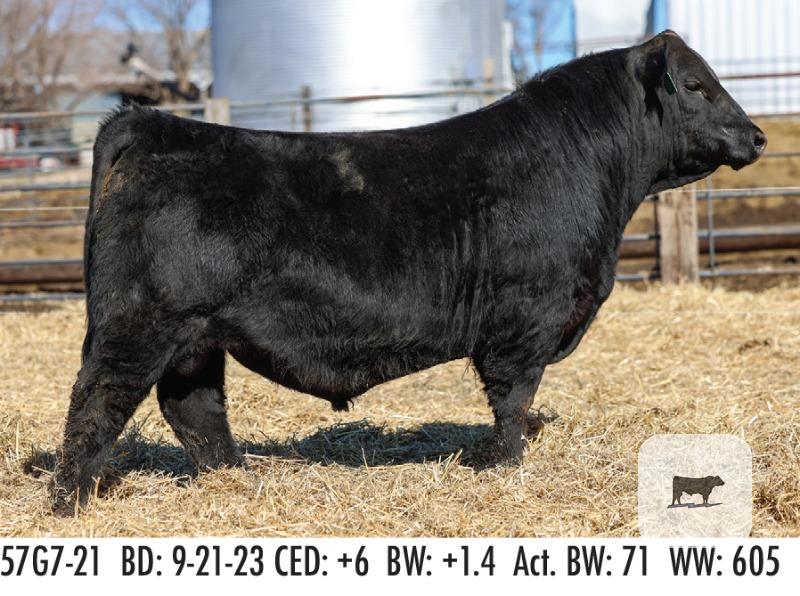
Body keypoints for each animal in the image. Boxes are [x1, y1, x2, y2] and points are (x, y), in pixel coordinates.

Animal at [51, 30, 766, 512]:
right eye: (696, 85)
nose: (757, 136)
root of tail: (149, 122)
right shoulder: (526, 319)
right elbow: (512, 400)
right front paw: (503, 466)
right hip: (140, 322)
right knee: (96, 400)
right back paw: (72, 501)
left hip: (196, 336)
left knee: (193, 407)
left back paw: (237, 478)